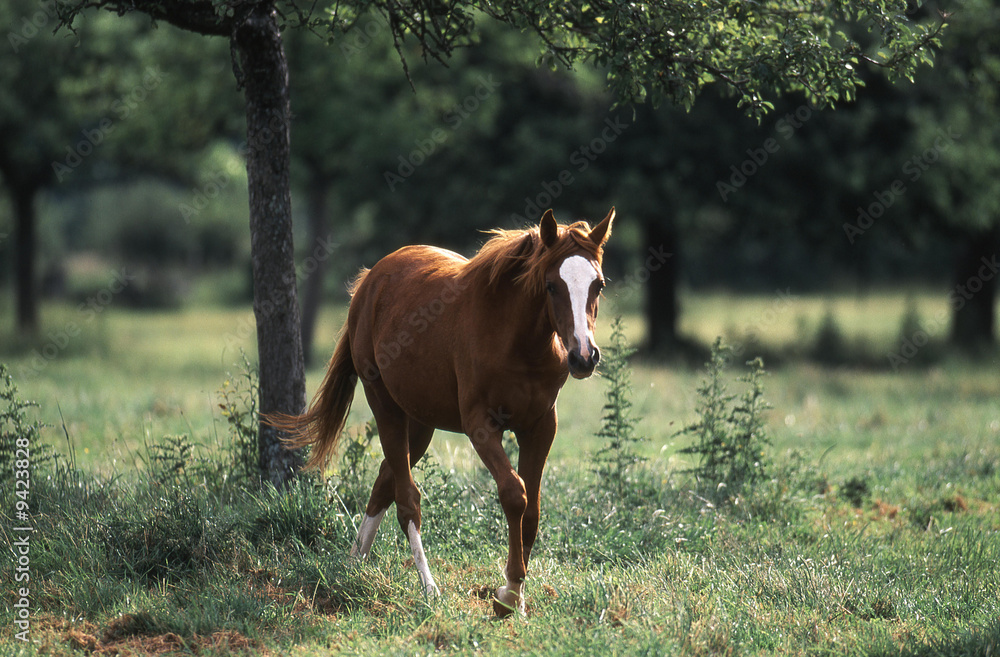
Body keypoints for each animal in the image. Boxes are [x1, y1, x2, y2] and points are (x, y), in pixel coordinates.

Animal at [269, 207, 614, 616]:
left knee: (385, 480)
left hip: (420, 422)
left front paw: (517, 597)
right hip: (385, 405)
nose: (583, 356)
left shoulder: (541, 426)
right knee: (407, 498)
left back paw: (353, 563)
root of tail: (371, 280)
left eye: (598, 285)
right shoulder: (481, 424)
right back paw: (428, 587)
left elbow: (532, 510)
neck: (516, 341)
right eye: (551, 285)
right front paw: (509, 594)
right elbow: (514, 494)